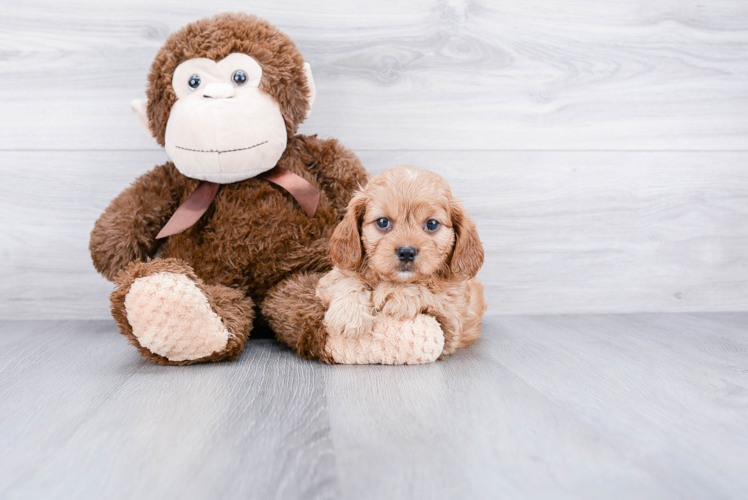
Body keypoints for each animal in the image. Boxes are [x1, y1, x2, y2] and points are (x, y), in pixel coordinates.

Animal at [314, 162, 486, 358]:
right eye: (383, 222)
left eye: (432, 224)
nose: (406, 252)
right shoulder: (331, 278)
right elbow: (346, 280)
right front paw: (349, 315)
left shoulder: (451, 324)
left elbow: (434, 296)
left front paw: (394, 293)